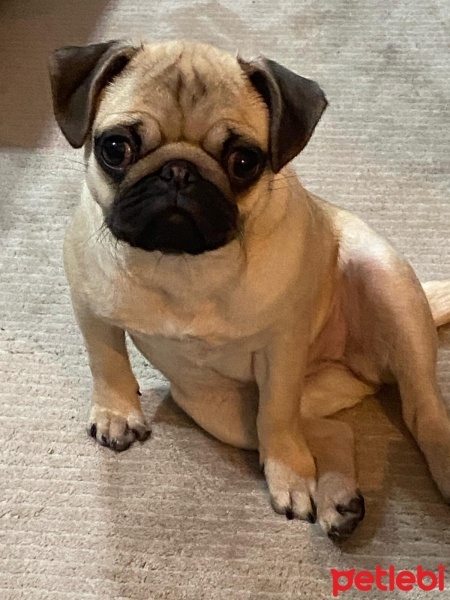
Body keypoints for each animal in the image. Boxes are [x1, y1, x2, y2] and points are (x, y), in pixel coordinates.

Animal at [49, 41, 450, 540]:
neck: (183, 264)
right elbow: (107, 363)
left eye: (243, 161)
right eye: (116, 148)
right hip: (218, 410)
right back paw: (338, 500)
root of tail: (356, 369)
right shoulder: (92, 311)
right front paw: (116, 413)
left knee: (422, 412)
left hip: (389, 287)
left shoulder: (282, 349)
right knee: (328, 430)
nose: (178, 172)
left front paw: (290, 478)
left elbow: (277, 416)